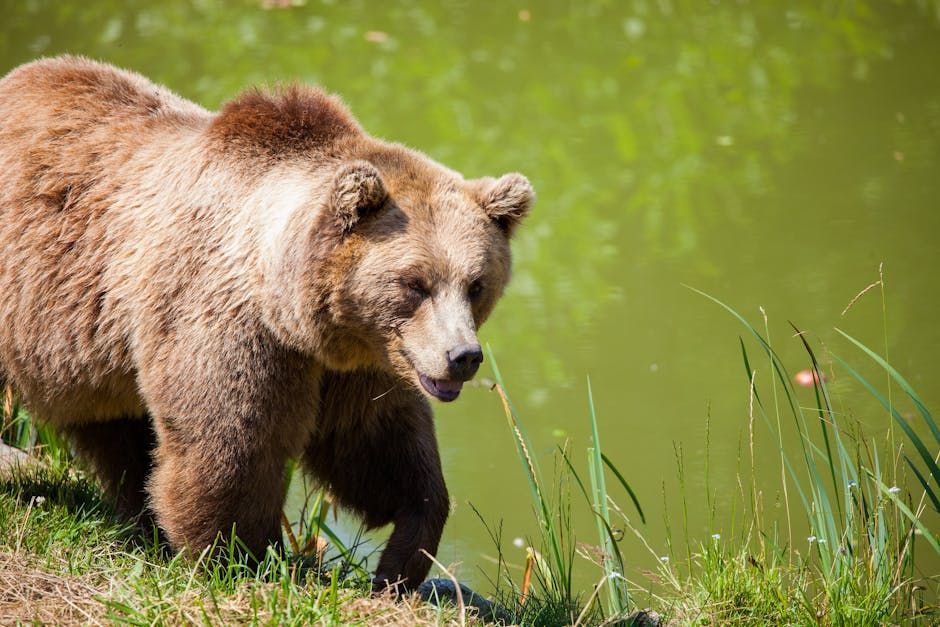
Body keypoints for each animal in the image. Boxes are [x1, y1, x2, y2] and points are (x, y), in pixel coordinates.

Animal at [0, 56, 533, 588]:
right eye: (414, 284)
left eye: (476, 284)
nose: (462, 356)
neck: (292, 307)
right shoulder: (228, 323)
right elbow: (231, 446)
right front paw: (242, 558)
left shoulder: (360, 362)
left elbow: (376, 445)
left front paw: (402, 558)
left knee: (114, 429)